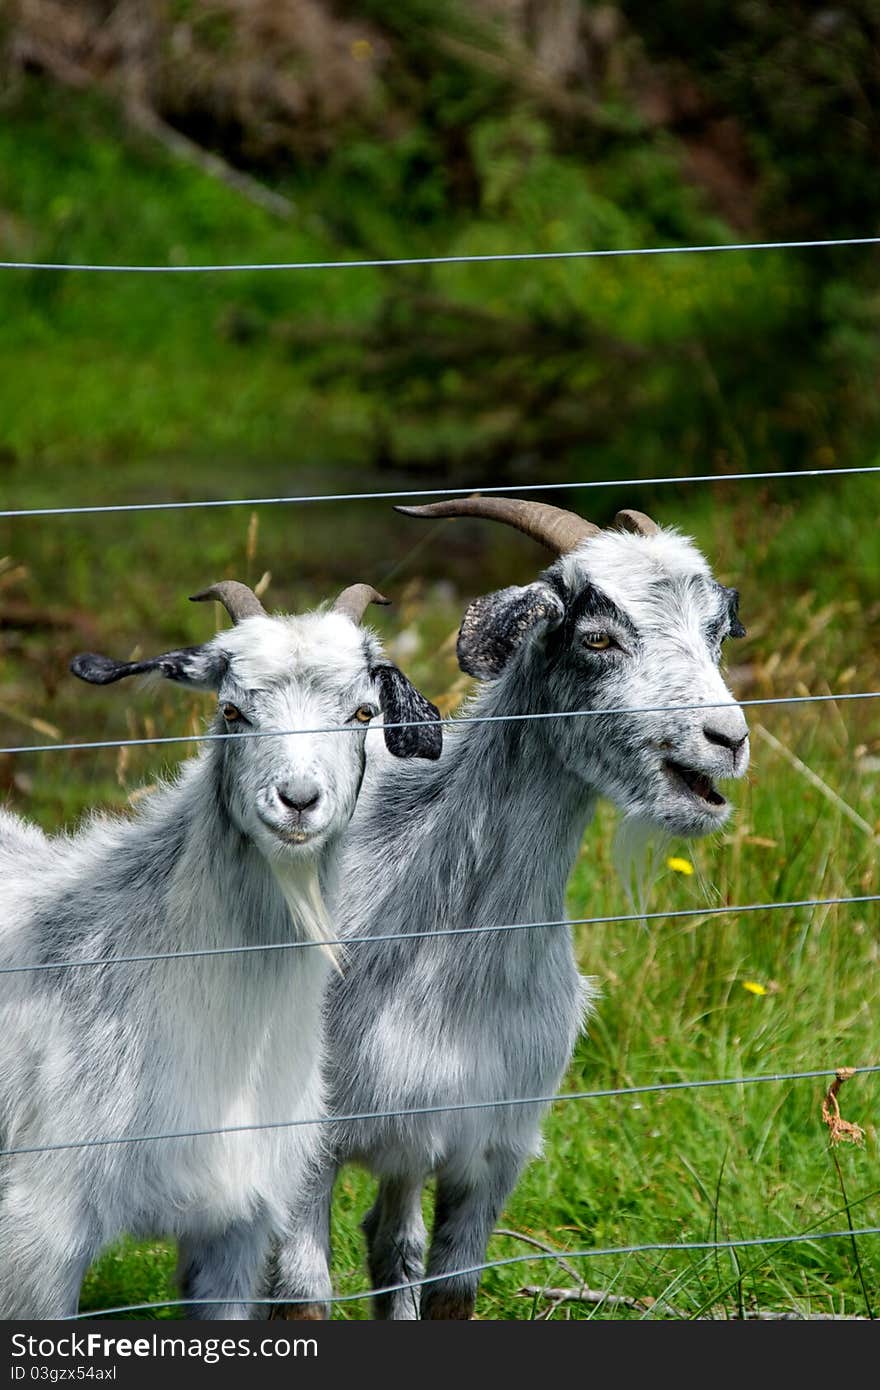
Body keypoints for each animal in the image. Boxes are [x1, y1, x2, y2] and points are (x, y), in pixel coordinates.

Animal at [269, 497, 750, 1312]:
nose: (729, 739)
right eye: (597, 636)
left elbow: (449, 1291)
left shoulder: (491, 1148)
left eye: (714, 631)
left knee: (392, 1242)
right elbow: (301, 1295)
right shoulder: (309, 1144)